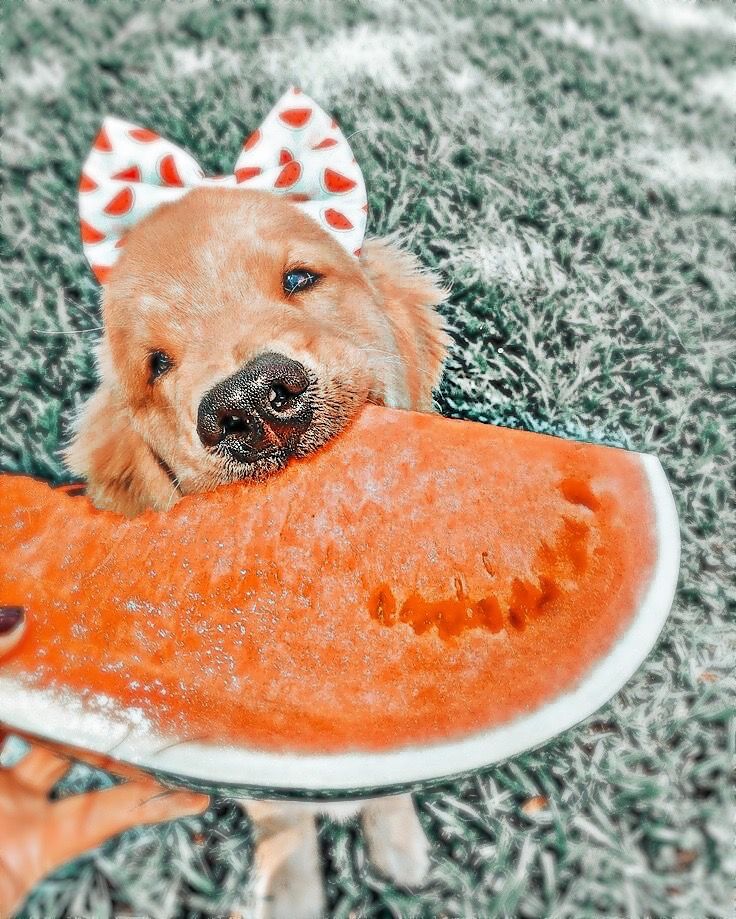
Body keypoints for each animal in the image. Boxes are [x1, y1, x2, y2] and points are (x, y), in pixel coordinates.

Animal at [66, 187, 452, 919]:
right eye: (157, 364)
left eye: (298, 279)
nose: (250, 403)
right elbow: (285, 821)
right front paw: (290, 888)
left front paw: (399, 842)